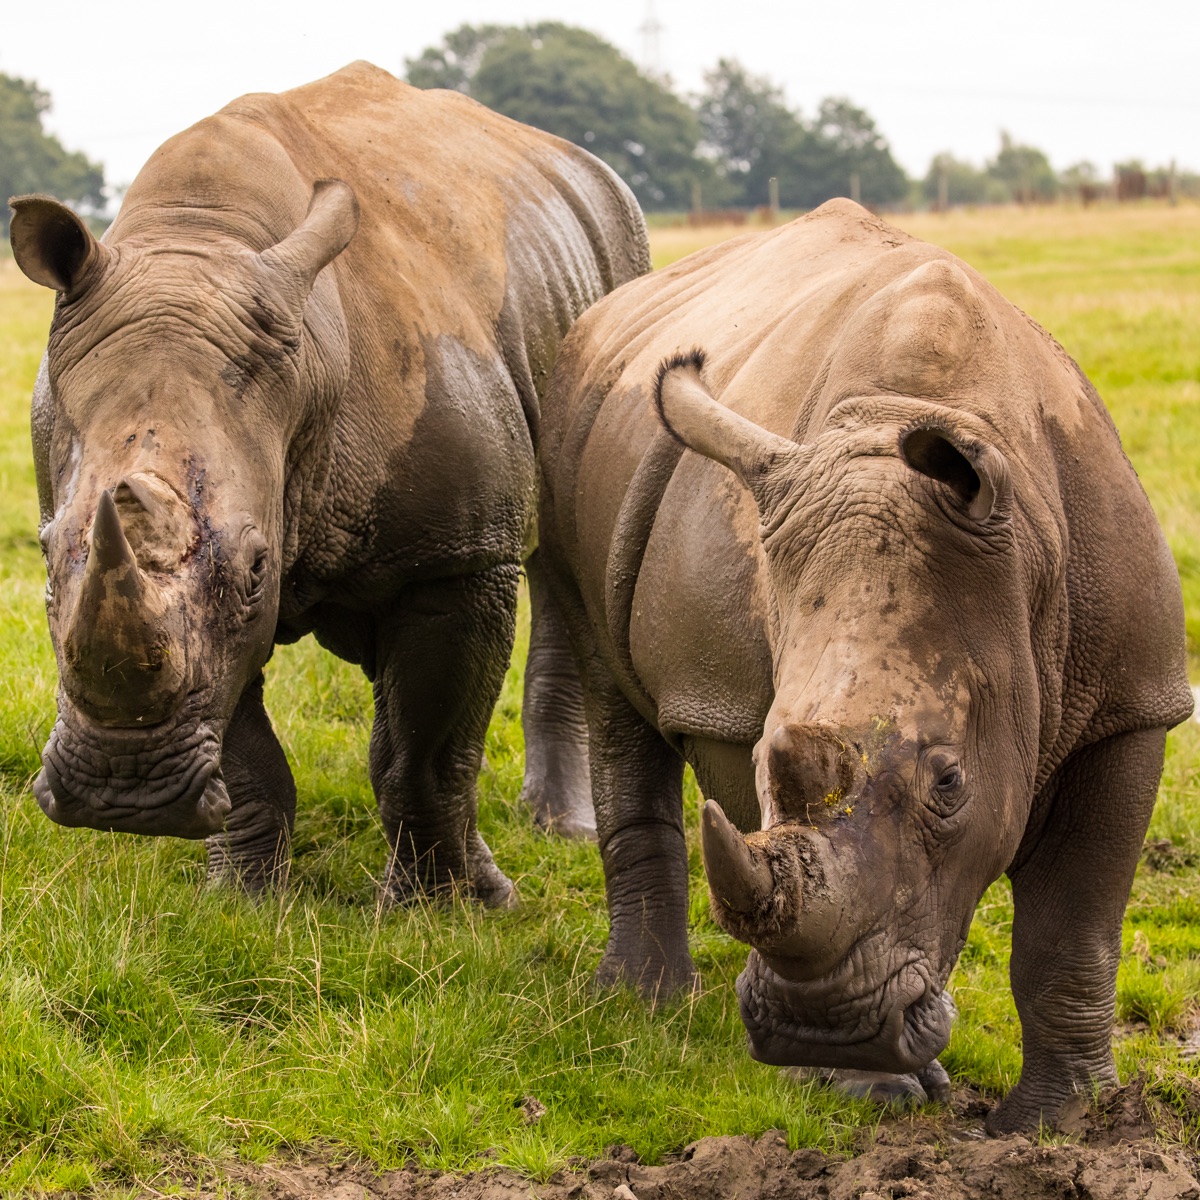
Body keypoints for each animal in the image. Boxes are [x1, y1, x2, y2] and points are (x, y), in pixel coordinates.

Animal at [9, 61, 644, 898]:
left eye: (257, 568)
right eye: (47, 560)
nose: (124, 796)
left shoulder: (459, 556)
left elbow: (423, 753)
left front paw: (448, 908)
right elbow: (242, 738)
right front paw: (243, 897)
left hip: (619, 249)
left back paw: (557, 833)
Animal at [533, 199, 1193, 1131]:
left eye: (950, 782)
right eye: (763, 752)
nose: (822, 1030)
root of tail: (599, 318)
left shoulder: (1133, 702)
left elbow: (1074, 928)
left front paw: (1064, 1121)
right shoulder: (723, 701)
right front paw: (863, 1085)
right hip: (570, 426)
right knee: (604, 672)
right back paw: (643, 1004)